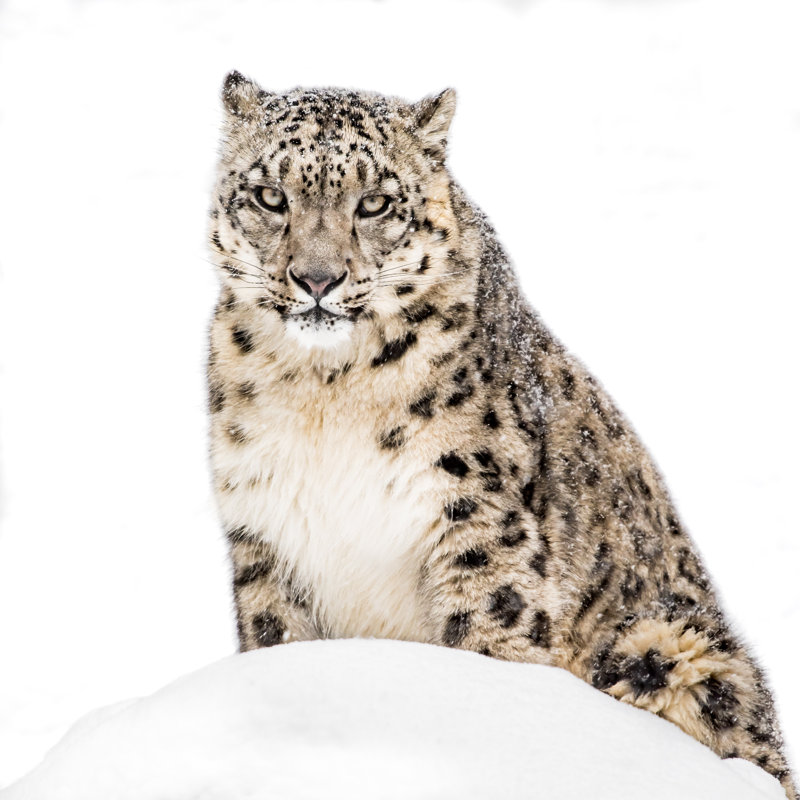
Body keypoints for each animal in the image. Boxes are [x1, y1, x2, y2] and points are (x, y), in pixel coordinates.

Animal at [206, 70, 796, 797]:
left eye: (374, 203)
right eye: (269, 195)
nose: (317, 279)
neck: (327, 391)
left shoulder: (477, 517)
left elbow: (490, 630)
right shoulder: (264, 532)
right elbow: (279, 640)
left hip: (670, 639)